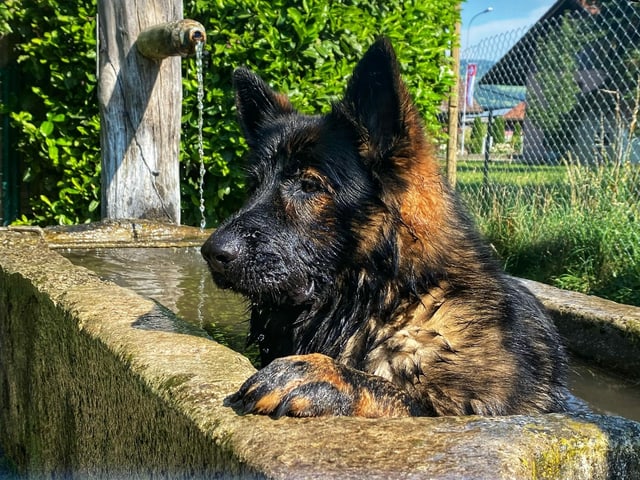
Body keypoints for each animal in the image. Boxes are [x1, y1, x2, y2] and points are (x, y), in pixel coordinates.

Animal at [201, 39, 568, 418]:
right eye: (253, 185)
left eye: (309, 185)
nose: (212, 252)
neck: (387, 298)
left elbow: (398, 395)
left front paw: (326, 374)